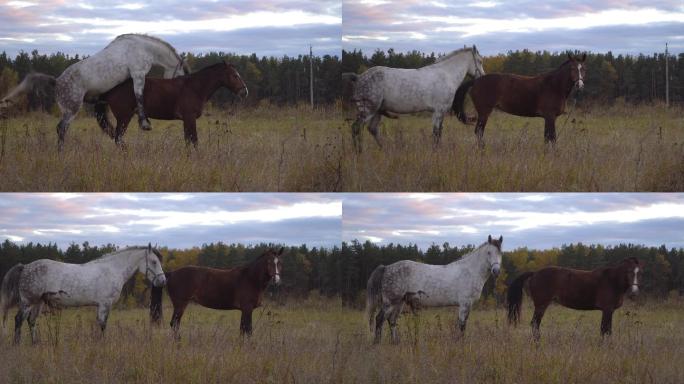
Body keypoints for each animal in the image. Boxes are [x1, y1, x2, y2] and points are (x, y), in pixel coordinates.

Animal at [95, 62, 247, 146]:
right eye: (235, 75)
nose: (244, 92)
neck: (195, 87)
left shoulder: (187, 120)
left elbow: (188, 140)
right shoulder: (189, 117)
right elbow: (193, 140)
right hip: (124, 117)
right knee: (118, 139)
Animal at [150, 248, 284, 338]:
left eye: (279, 263)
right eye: (268, 262)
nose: (276, 280)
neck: (250, 278)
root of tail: (171, 273)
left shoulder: (244, 310)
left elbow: (242, 329)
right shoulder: (247, 308)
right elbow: (248, 330)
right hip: (180, 304)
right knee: (174, 324)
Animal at [454, 54, 588, 148]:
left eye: (583, 69)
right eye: (572, 68)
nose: (580, 85)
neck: (554, 86)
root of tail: (476, 81)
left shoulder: (548, 117)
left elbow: (547, 137)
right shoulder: (550, 116)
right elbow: (551, 137)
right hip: (484, 112)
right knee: (479, 131)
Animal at [508, 258, 640, 340]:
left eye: (639, 272)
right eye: (628, 271)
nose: (634, 293)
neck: (612, 281)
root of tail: (535, 273)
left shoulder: (610, 311)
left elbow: (608, 329)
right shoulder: (607, 309)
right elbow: (604, 329)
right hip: (541, 305)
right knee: (535, 324)